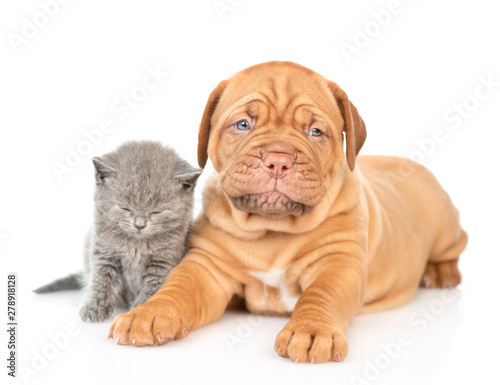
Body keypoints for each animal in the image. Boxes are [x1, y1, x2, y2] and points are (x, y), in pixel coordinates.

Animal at [33, 141, 202, 320]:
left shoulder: (164, 261)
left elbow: (154, 287)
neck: (137, 244)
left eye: (156, 212)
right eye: (125, 208)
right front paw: (94, 307)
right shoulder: (104, 251)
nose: (139, 225)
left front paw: (141, 308)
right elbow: (100, 279)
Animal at [109, 60, 468, 364]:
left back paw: (441, 273)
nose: (278, 159)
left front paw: (312, 331)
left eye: (316, 132)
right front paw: (149, 313)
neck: (272, 229)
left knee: (456, 244)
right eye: (243, 124)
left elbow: (322, 295)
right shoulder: (207, 265)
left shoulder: (337, 263)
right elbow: (178, 286)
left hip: (445, 226)